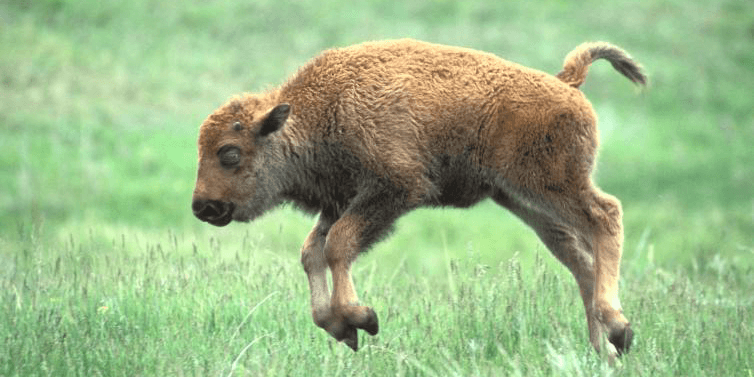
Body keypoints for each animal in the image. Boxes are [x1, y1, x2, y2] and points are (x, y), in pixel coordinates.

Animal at [191, 39, 644, 358]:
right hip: (523, 200)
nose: (202, 207)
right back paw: (602, 350)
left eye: (229, 153)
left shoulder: (393, 191)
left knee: (606, 216)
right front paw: (341, 328)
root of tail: (566, 83)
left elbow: (338, 246)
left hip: (552, 185)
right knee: (579, 260)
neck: (316, 113)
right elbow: (313, 253)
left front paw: (362, 319)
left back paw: (618, 329)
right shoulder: (340, 203)